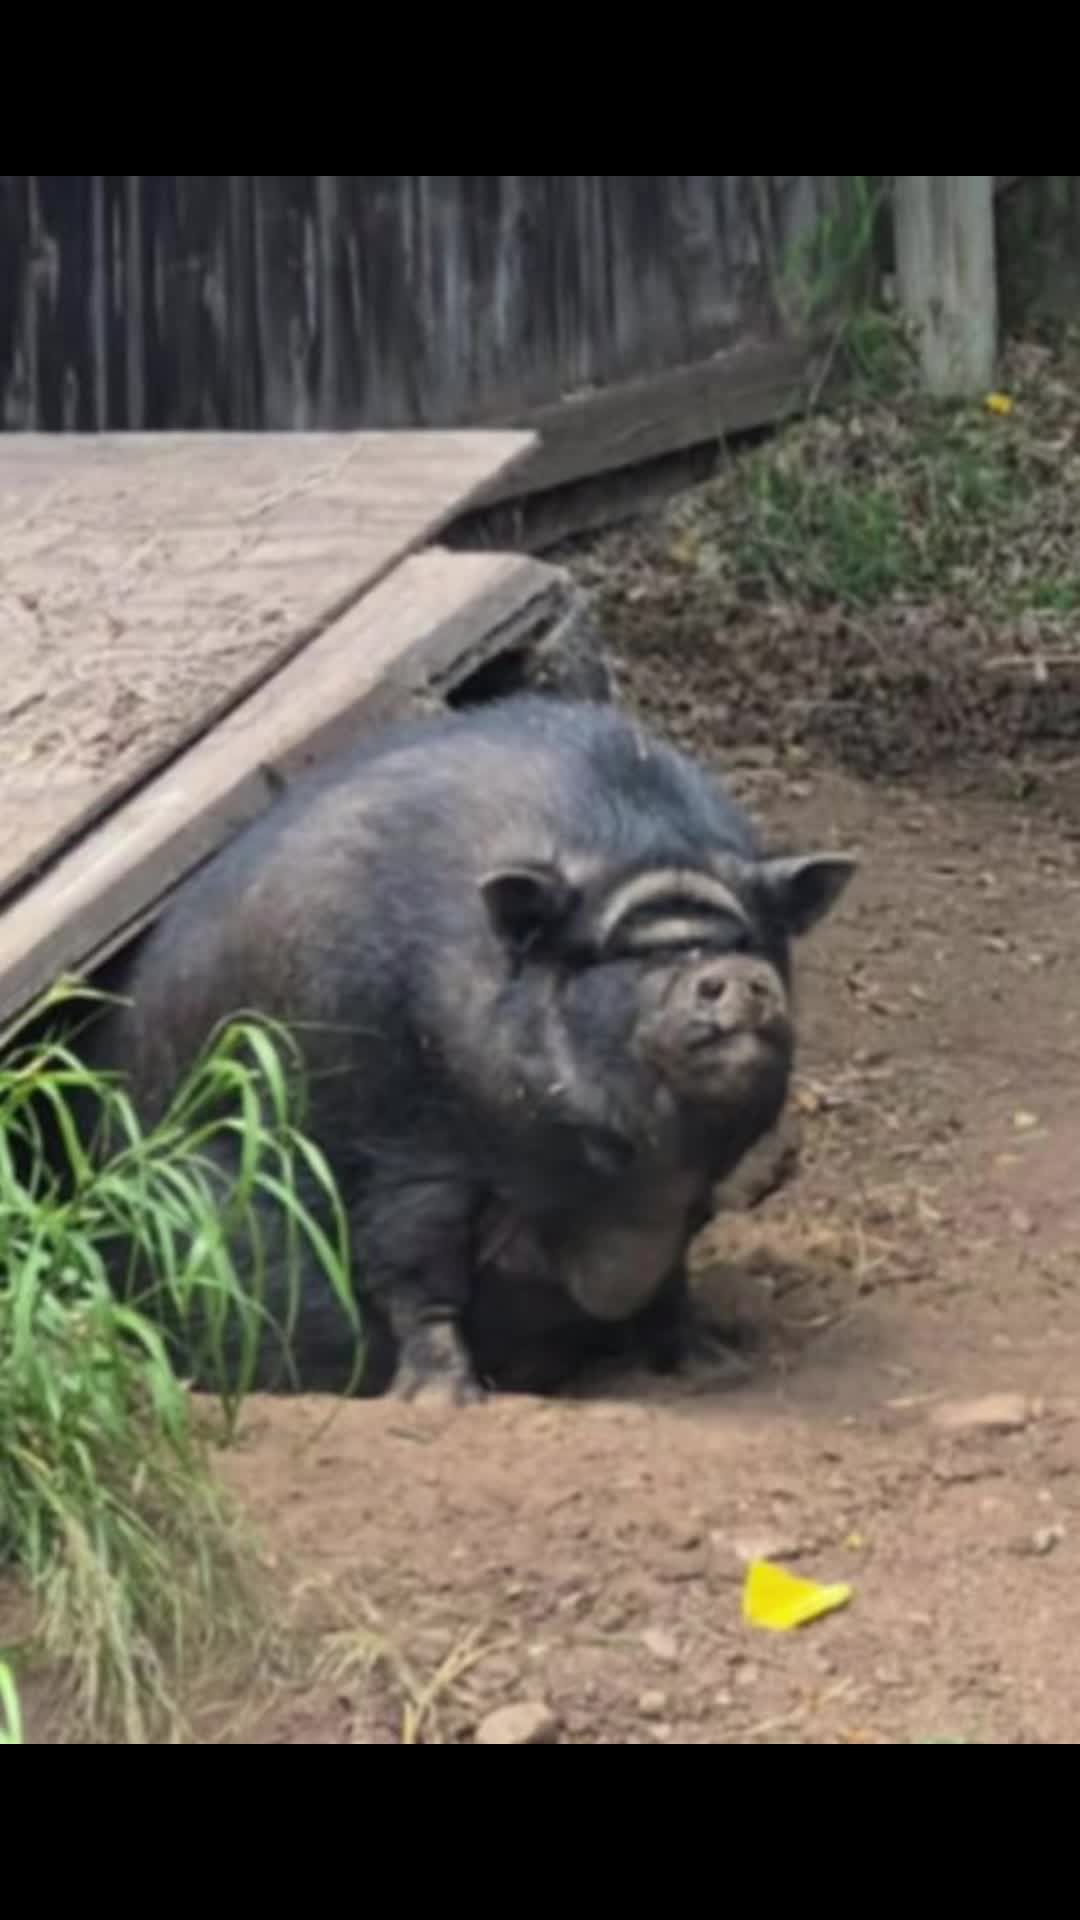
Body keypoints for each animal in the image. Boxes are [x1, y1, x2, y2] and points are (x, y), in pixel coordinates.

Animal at [80, 693, 856, 1404]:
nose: (739, 977)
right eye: (624, 952)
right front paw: (443, 1403)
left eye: (745, 938)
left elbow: (670, 1277)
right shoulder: (407, 1145)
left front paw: (716, 1368)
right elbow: (416, 1274)